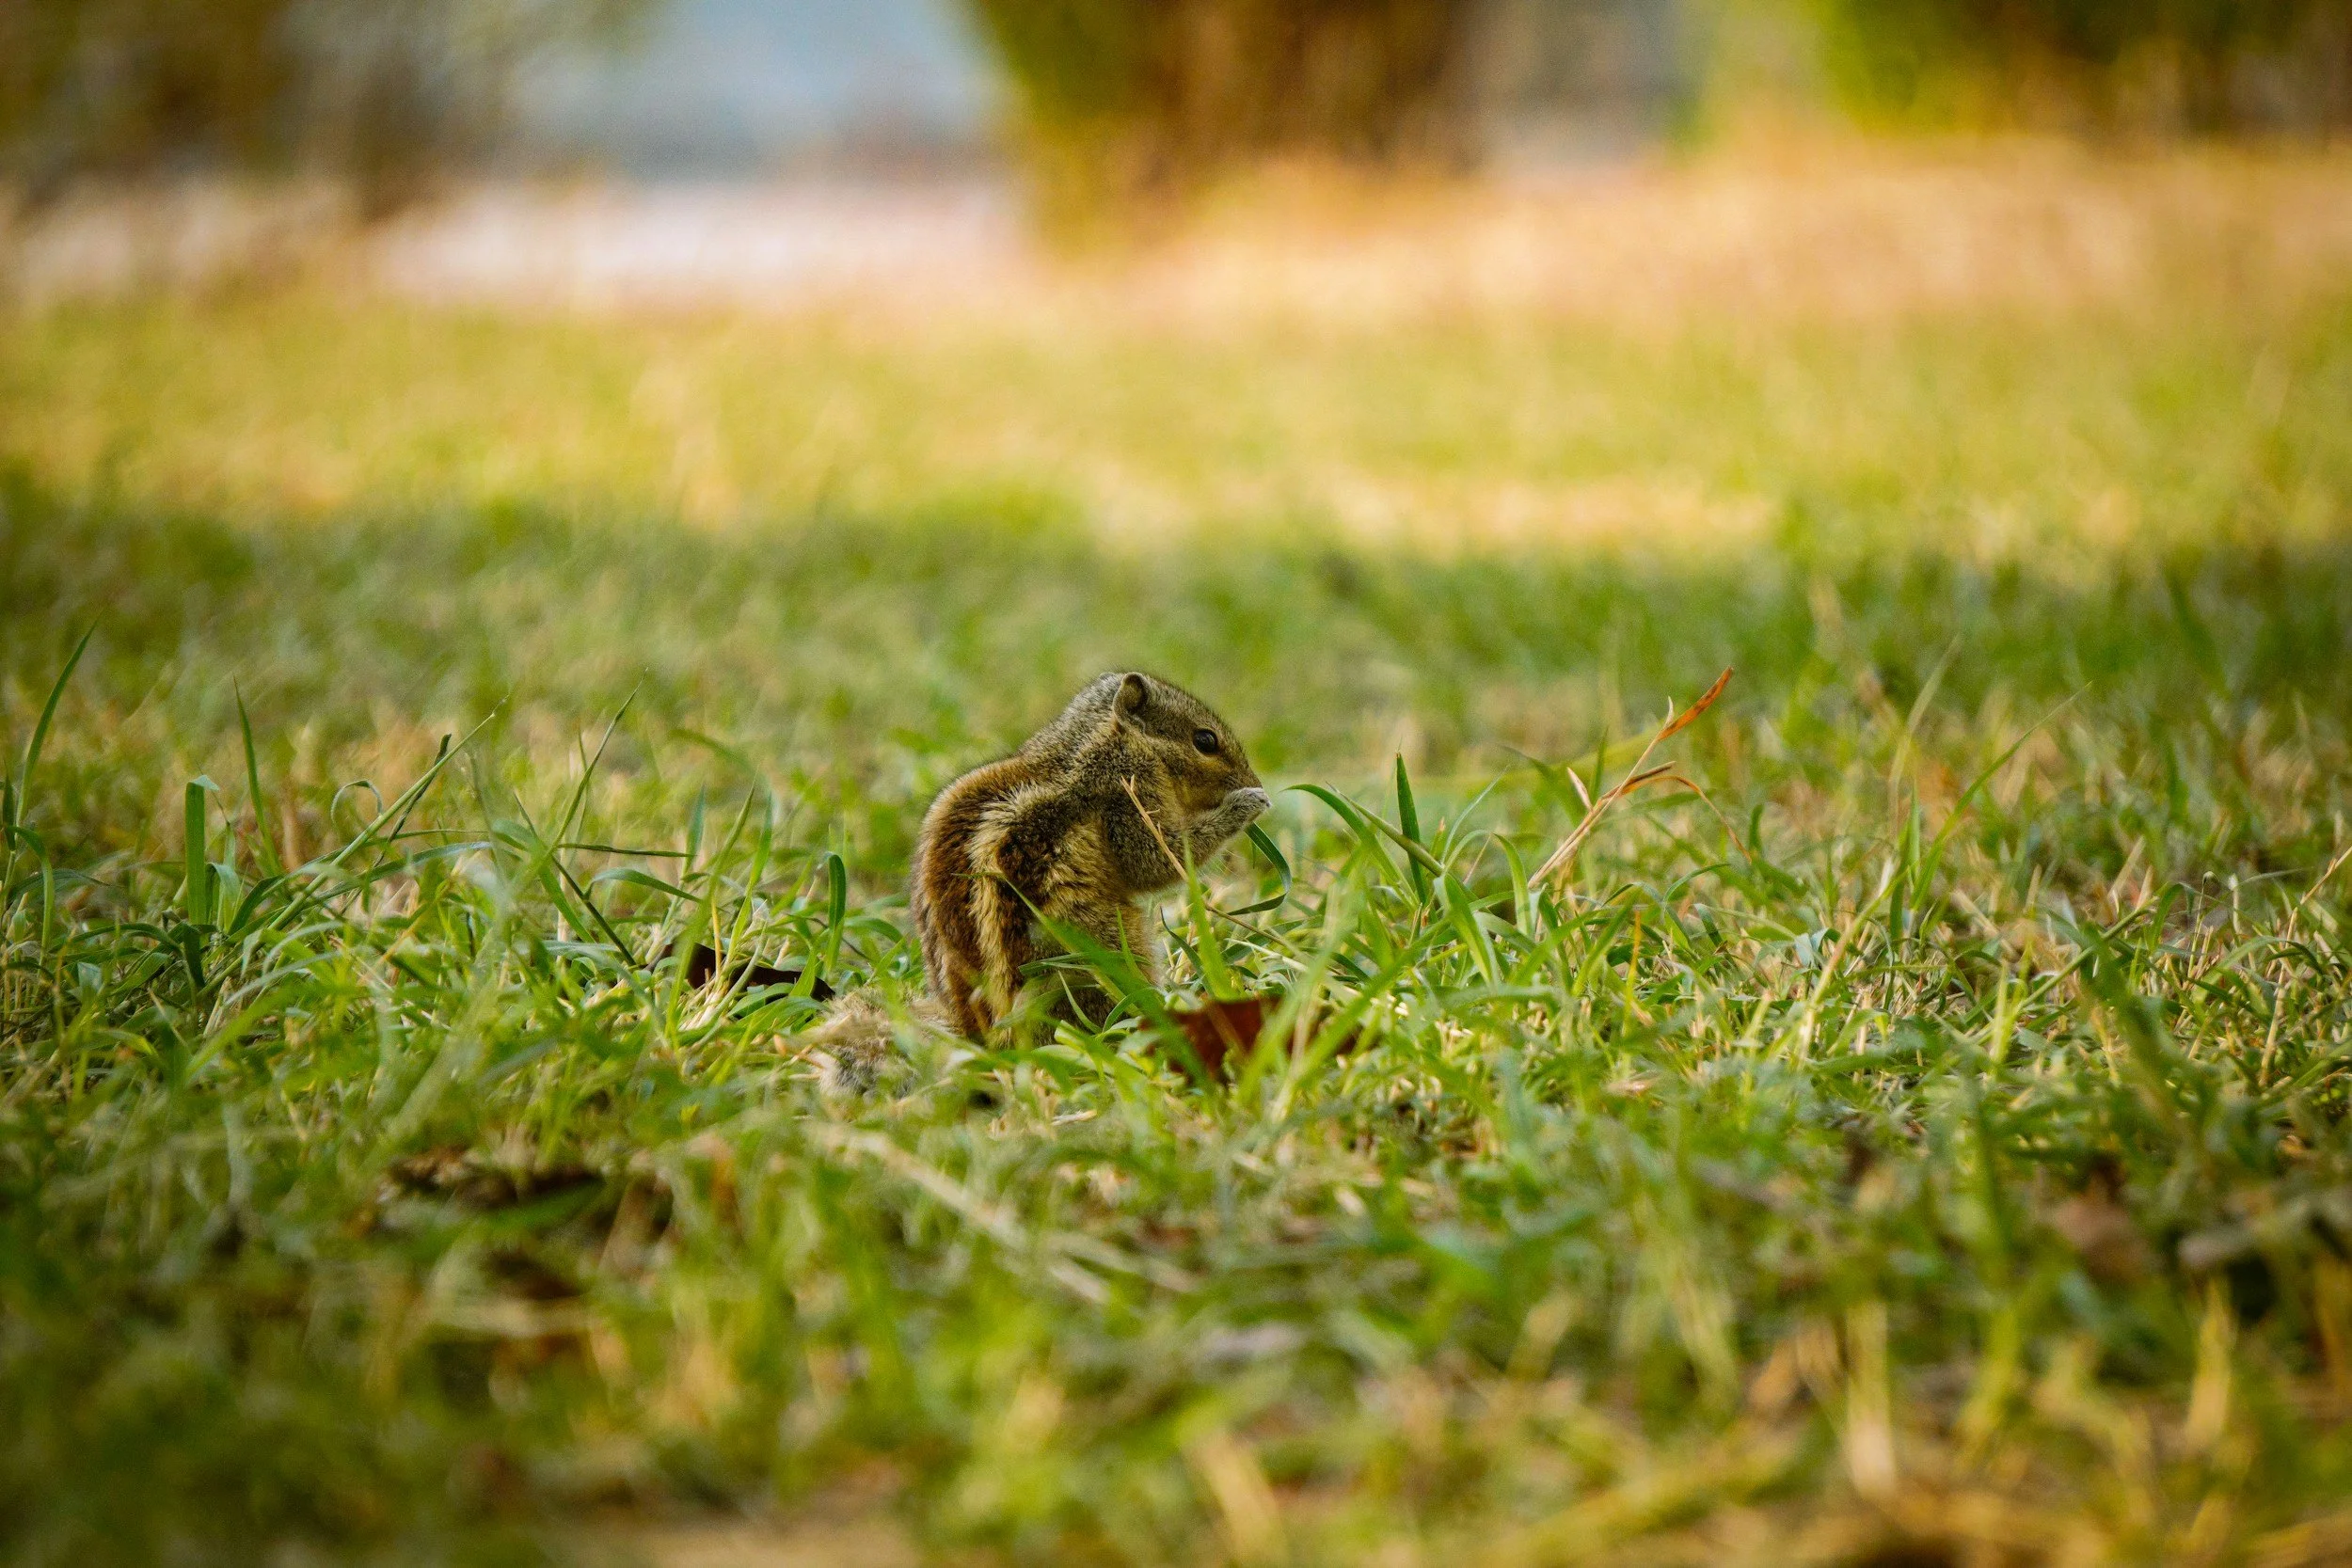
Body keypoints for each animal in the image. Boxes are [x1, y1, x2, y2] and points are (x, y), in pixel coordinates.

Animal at [911, 671, 1270, 1038]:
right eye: (1206, 740)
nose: (1254, 780)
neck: (1095, 738)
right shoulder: (1130, 788)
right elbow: (1154, 859)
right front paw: (1247, 803)